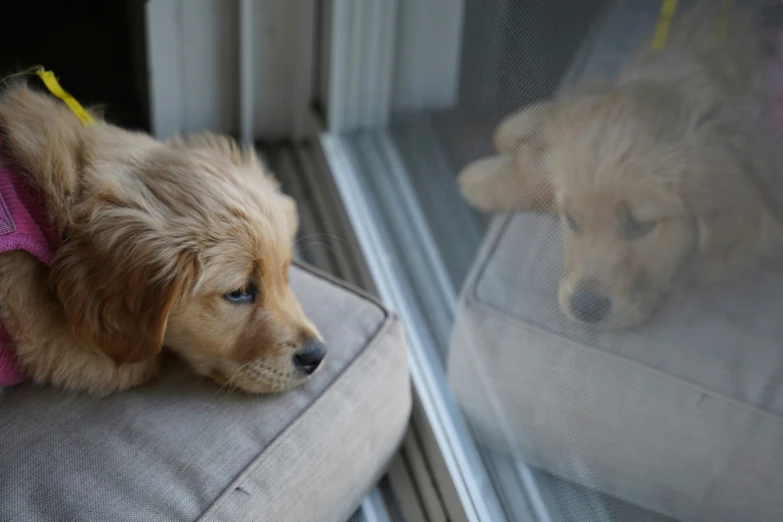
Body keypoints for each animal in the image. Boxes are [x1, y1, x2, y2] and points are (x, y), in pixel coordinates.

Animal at [456, 6, 783, 328]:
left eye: (641, 224)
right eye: (572, 219)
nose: (586, 309)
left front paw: (480, 180)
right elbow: (547, 118)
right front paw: (510, 140)